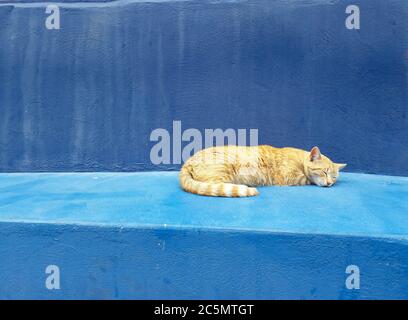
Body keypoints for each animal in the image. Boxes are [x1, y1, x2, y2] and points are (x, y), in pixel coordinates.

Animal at [180, 146, 346, 198]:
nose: (330, 183)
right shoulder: (290, 178)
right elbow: (309, 179)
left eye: (334, 177)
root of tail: (188, 161)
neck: (299, 159)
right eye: (324, 172)